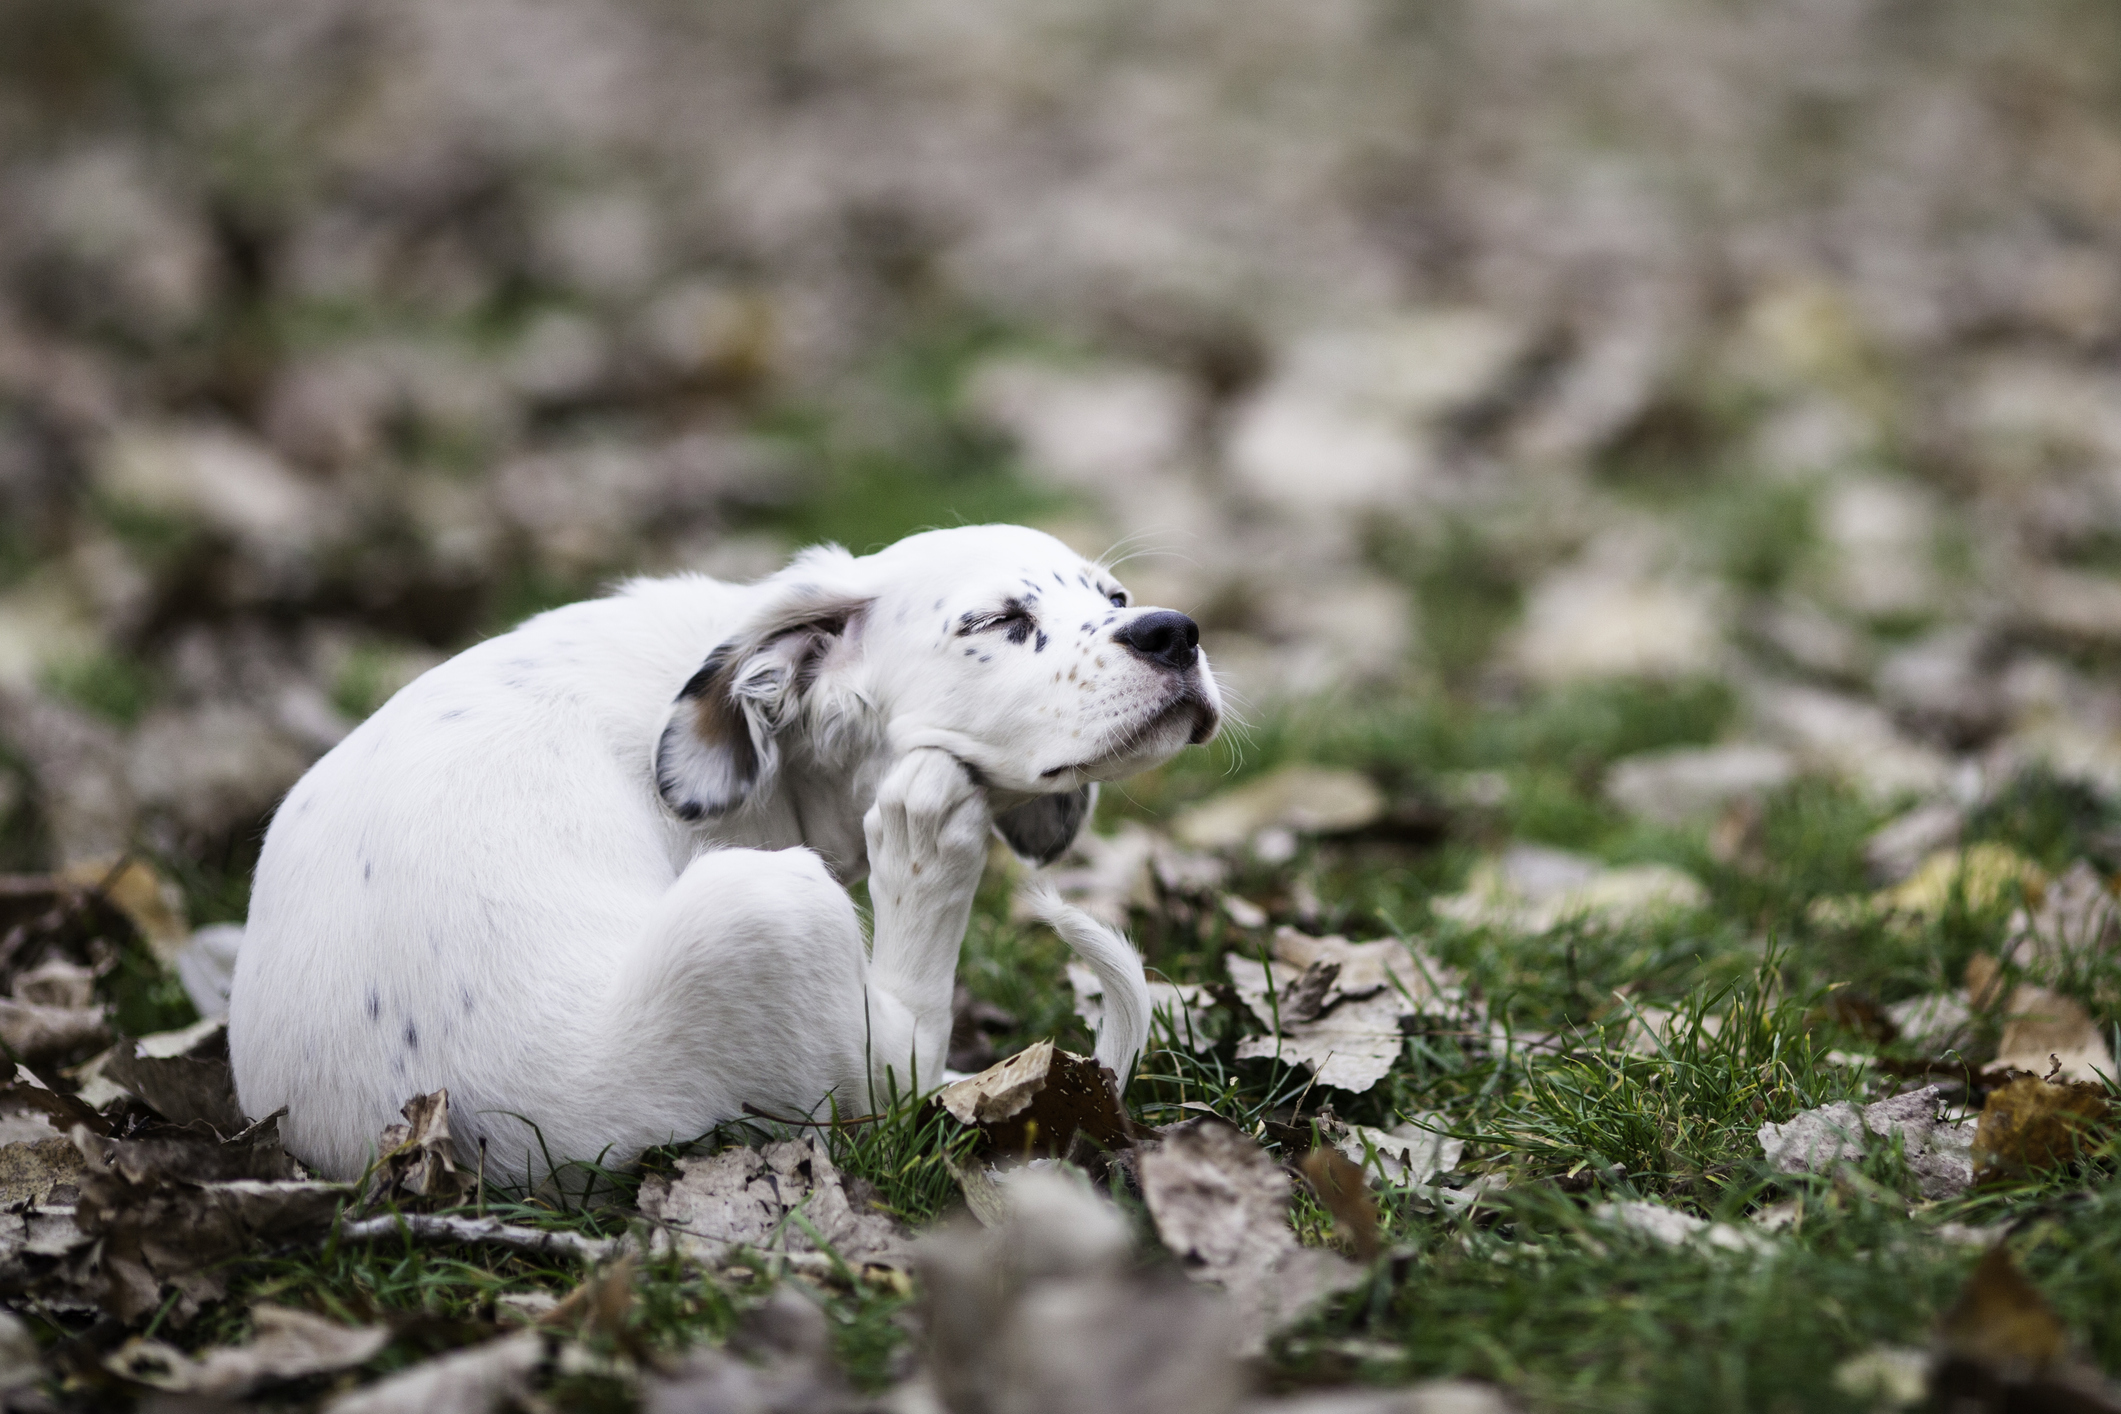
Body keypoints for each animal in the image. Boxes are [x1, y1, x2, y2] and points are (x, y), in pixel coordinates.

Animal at [223, 525, 1221, 1178]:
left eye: (1115, 600)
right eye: (996, 621)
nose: (1172, 631)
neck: (784, 751)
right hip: (767, 911)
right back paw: (927, 833)